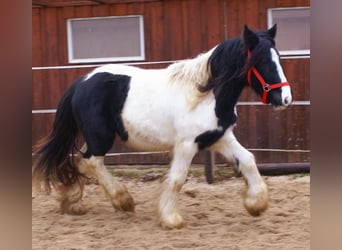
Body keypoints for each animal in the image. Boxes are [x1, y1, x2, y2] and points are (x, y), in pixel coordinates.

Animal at [33, 24, 292, 229]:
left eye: (278, 57)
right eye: (262, 60)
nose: (285, 98)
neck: (206, 95)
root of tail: (80, 82)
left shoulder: (220, 138)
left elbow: (247, 160)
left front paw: (256, 204)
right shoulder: (187, 145)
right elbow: (177, 178)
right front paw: (170, 219)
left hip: (95, 137)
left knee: (80, 161)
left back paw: (73, 202)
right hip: (101, 137)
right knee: (90, 162)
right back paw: (122, 200)